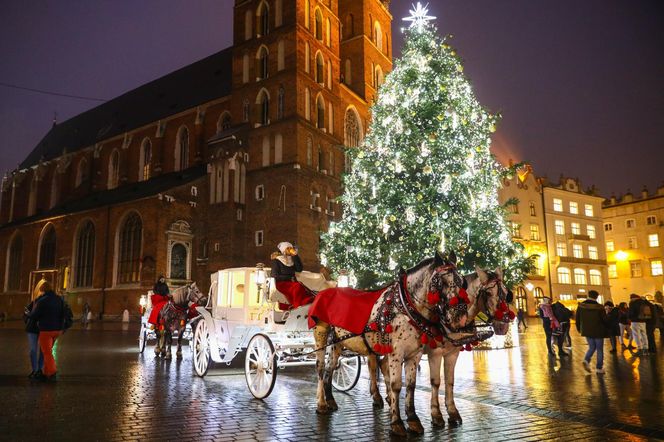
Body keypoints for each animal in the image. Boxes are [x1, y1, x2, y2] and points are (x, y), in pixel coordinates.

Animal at [310, 250, 462, 436]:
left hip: (336, 343)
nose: (457, 313)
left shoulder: (414, 354)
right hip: (321, 335)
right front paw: (396, 423)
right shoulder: (396, 353)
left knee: (331, 369)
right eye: (441, 281)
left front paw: (413, 420)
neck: (405, 306)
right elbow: (396, 385)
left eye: (461, 281)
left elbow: (410, 386)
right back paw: (321, 404)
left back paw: (331, 400)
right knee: (320, 368)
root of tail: (321, 292)